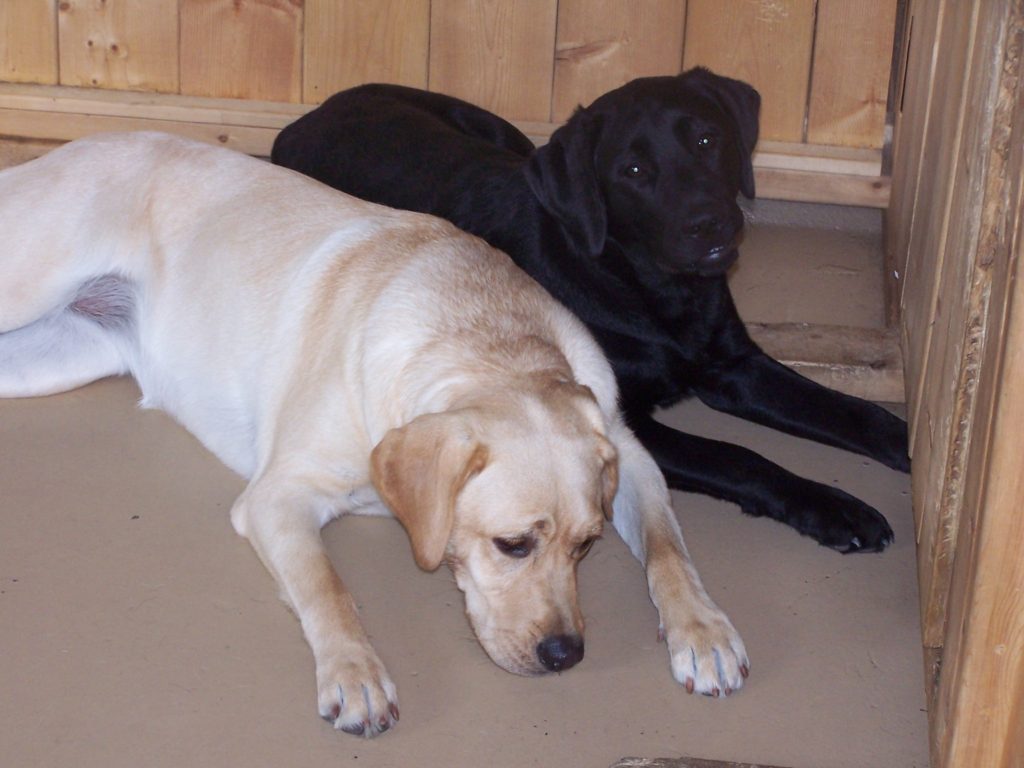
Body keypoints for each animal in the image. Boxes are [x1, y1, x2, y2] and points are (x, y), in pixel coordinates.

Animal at [272, 67, 905, 552]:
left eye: (708, 140)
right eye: (633, 171)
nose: (710, 223)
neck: (652, 293)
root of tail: (306, 115)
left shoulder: (735, 365)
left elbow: (852, 412)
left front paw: (906, 445)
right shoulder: (622, 418)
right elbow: (739, 456)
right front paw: (834, 508)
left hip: (507, 137)